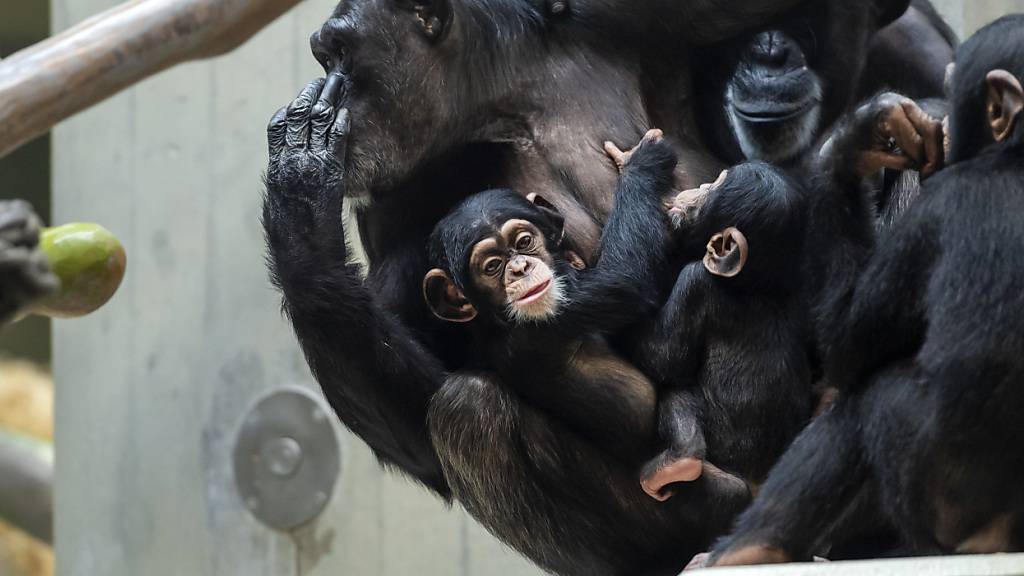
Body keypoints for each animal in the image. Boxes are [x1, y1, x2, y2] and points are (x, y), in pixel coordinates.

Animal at [264, 0, 913, 569]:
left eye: (340, 54)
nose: (329, 85)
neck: (493, 99)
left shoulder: (618, 19)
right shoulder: (391, 201)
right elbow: (421, 424)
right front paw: (300, 188)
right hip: (706, 509)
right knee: (467, 411)